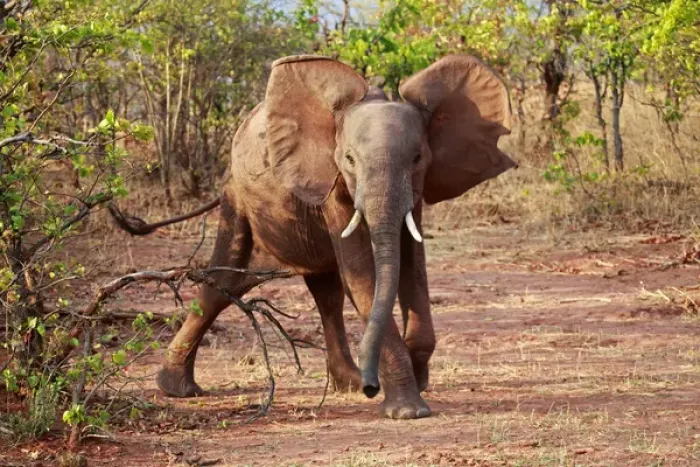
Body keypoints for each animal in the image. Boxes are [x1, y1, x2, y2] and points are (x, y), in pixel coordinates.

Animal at [113, 54, 515, 419]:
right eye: (349, 159)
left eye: (417, 158)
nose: (373, 388)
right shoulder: (332, 183)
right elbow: (363, 276)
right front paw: (408, 410)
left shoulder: (414, 193)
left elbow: (412, 268)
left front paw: (416, 379)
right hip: (236, 198)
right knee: (224, 283)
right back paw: (178, 389)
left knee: (325, 292)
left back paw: (348, 383)